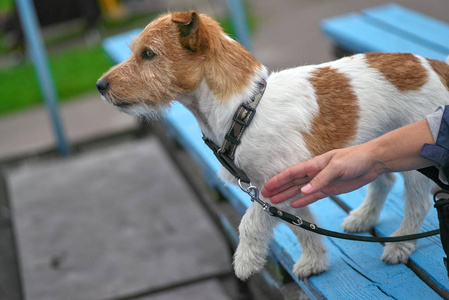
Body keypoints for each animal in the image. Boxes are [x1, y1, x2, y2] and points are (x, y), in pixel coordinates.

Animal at [96, 11, 448, 278]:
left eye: (148, 54)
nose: (100, 85)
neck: (242, 110)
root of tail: (433, 64)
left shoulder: (277, 183)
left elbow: (251, 222)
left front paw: (245, 261)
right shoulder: (286, 189)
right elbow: (301, 227)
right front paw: (315, 261)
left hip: (416, 162)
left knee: (416, 203)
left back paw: (400, 244)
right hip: (372, 146)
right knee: (384, 179)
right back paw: (363, 218)